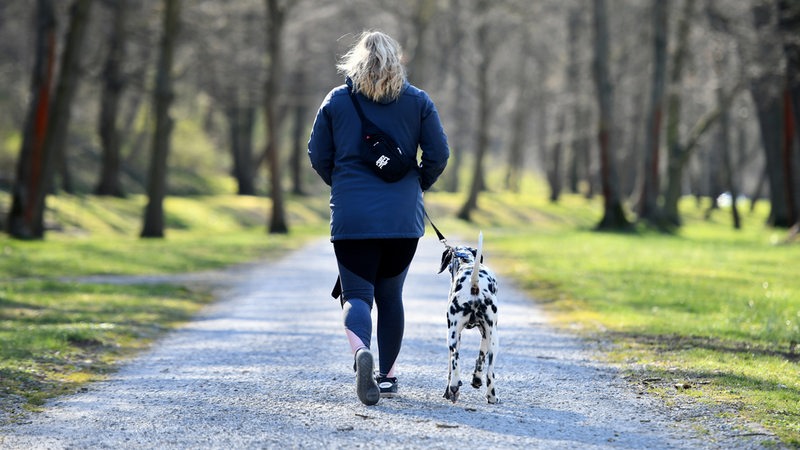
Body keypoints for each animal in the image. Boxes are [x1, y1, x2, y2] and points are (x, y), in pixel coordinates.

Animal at [440, 232, 496, 404]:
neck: (467, 262)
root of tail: (474, 283)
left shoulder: (457, 336)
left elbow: (450, 369)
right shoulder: (485, 334)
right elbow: (480, 359)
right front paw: (476, 380)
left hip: (452, 337)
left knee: (455, 362)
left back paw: (454, 388)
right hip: (494, 340)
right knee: (490, 371)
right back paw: (492, 396)